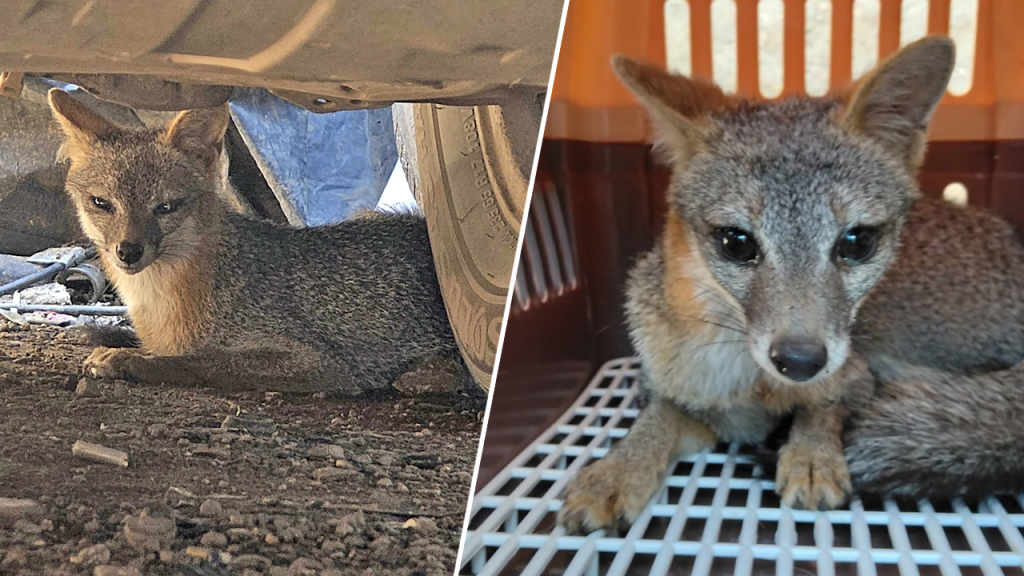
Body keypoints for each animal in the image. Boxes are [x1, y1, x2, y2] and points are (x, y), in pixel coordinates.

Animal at [47, 89, 468, 395]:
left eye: (166, 207)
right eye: (102, 203)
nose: (128, 252)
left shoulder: (321, 363)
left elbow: (203, 361)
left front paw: (129, 361)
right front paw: (117, 343)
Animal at [559, 36, 1024, 534]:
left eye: (856, 242)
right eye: (737, 242)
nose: (800, 362)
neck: (749, 385)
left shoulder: (855, 375)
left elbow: (824, 405)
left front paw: (812, 454)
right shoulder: (683, 396)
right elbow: (658, 415)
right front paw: (615, 470)